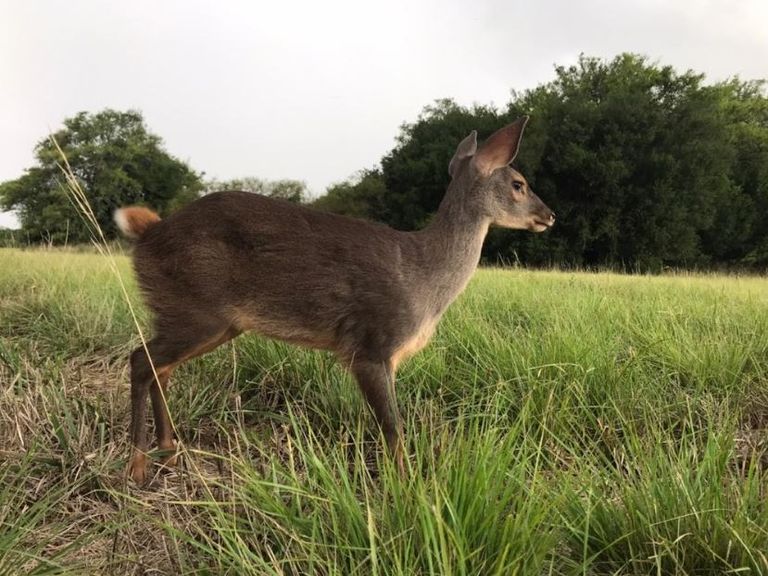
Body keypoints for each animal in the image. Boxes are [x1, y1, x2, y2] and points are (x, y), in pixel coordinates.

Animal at [114, 116, 555, 484]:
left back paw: (169, 452)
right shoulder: (371, 344)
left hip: (210, 320)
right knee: (141, 360)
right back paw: (137, 467)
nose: (550, 215)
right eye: (518, 183)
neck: (424, 277)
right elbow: (393, 426)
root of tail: (147, 235)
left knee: (161, 367)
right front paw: (409, 488)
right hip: (195, 308)